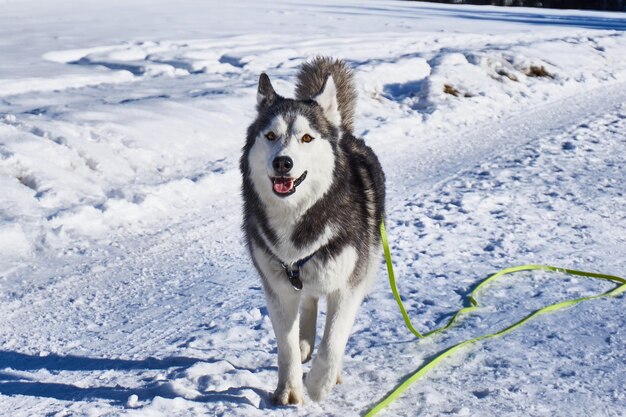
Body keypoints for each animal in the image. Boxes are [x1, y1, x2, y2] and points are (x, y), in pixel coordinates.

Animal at [241, 57, 382, 402]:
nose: (283, 163)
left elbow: (333, 342)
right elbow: (287, 347)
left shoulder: (348, 287)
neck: (300, 214)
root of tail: (346, 134)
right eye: (270, 136)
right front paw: (289, 390)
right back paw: (305, 340)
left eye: (306, 138)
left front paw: (319, 383)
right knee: (307, 302)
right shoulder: (277, 288)